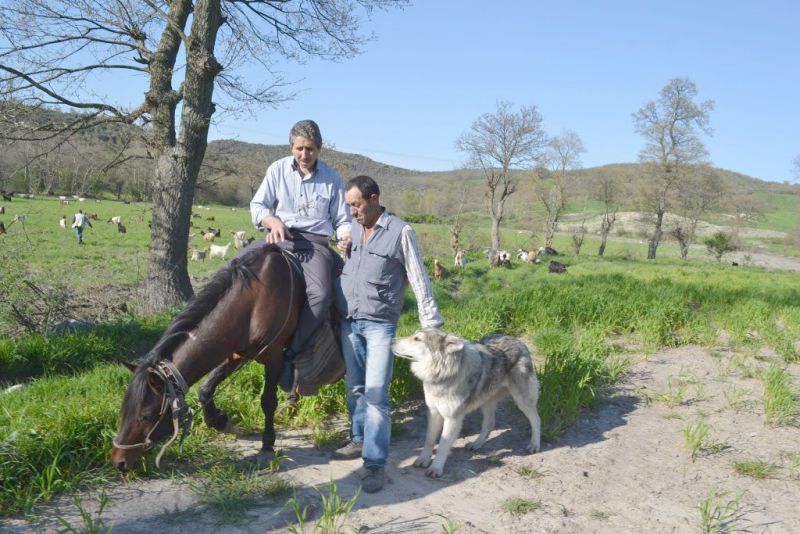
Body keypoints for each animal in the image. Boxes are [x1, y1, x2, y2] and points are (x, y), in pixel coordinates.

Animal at [109, 245, 304, 472]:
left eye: (146, 415)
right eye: (124, 410)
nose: (118, 461)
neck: (254, 302)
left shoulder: (273, 356)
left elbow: (268, 401)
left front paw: (267, 444)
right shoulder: (235, 351)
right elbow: (205, 389)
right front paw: (220, 421)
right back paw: (292, 404)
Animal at [390, 328, 540, 480]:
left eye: (417, 339)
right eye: (413, 335)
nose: (391, 340)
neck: (442, 374)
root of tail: (517, 341)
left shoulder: (452, 418)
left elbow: (443, 445)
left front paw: (436, 468)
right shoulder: (434, 412)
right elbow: (429, 439)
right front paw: (423, 460)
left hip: (522, 401)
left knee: (536, 420)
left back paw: (534, 445)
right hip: (486, 402)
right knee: (489, 424)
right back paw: (476, 444)